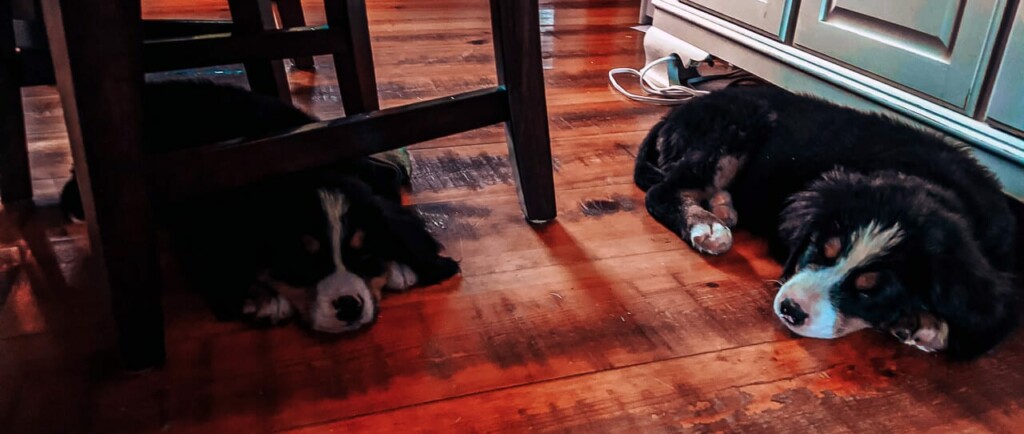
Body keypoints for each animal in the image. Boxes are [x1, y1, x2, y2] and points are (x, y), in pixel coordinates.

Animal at [634, 84, 1019, 360]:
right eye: (819, 249)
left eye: (869, 290)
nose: (791, 310)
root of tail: (681, 110)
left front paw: (925, 323)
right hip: (737, 128)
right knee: (662, 191)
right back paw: (708, 225)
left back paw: (723, 207)